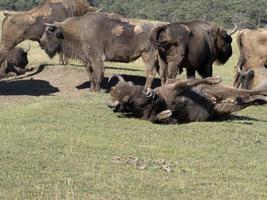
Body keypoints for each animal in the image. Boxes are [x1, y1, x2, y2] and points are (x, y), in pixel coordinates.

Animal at [108, 75, 267, 123]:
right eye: (127, 99)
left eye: (133, 85)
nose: (149, 93)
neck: (162, 101)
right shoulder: (147, 117)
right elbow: (155, 118)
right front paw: (165, 114)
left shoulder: (176, 88)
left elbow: (188, 83)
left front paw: (213, 79)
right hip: (220, 109)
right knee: (243, 101)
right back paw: (260, 100)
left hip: (220, 91)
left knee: (246, 92)